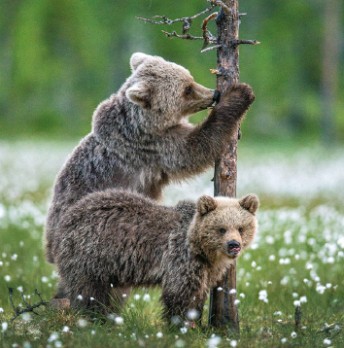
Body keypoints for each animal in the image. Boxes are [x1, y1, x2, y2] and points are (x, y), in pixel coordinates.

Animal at [45, 52, 255, 264]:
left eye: (190, 78)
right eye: (186, 90)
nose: (214, 94)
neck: (147, 124)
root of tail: (51, 253)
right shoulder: (151, 148)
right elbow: (194, 148)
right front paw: (240, 94)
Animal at [55, 189, 258, 322]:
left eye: (241, 227)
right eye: (221, 228)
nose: (234, 245)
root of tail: (69, 215)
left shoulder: (207, 270)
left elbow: (199, 294)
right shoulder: (182, 260)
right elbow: (180, 295)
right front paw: (181, 326)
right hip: (89, 256)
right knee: (88, 291)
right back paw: (93, 317)